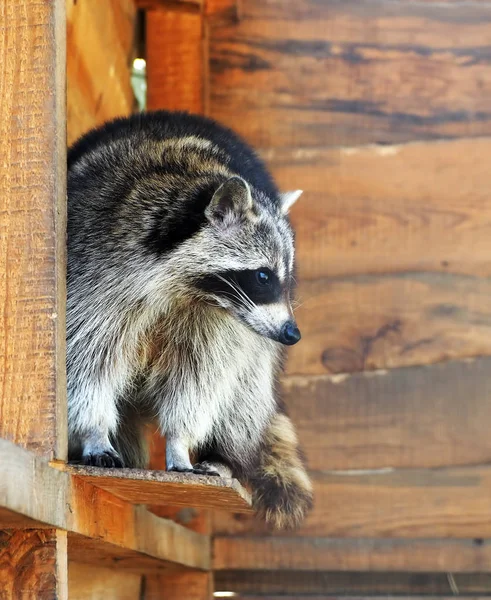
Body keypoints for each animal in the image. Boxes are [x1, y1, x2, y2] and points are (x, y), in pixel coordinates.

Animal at [67, 110, 314, 528]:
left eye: (285, 278)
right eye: (263, 276)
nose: (292, 333)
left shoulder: (222, 324)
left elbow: (199, 378)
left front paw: (180, 442)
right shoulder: (95, 269)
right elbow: (87, 358)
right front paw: (94, 431)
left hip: (255, 353)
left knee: (245, 392)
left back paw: (224, 455)